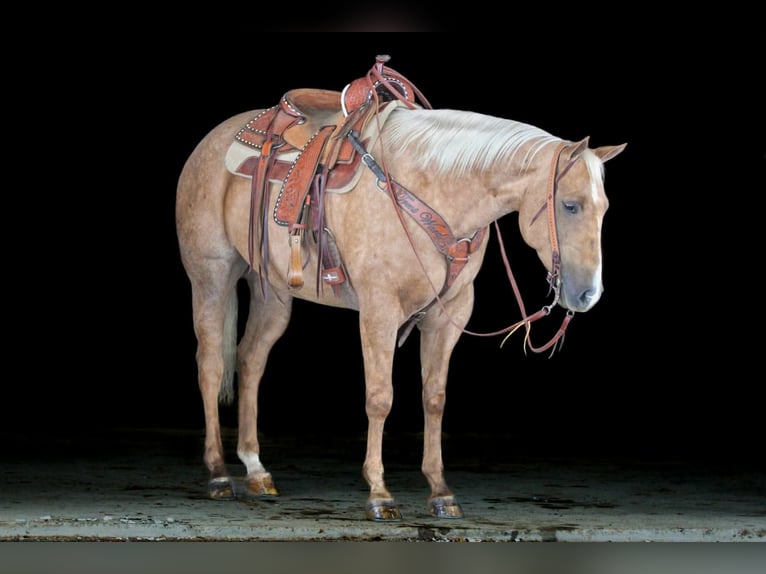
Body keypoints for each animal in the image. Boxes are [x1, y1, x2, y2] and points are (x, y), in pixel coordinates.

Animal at [175, 56, 626, 521]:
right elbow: (380, 398)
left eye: (604, 208)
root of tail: (211, 142)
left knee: (249, 361)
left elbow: (434, 397)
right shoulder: (380, 310)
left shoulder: (450, 313)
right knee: (210, 365)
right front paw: (379, 493)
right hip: (211, 277)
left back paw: (256, 470)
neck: (432, 190)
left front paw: (440, 491)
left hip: (273, 293)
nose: (589, 294)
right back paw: (219, 475)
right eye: (570, 205)